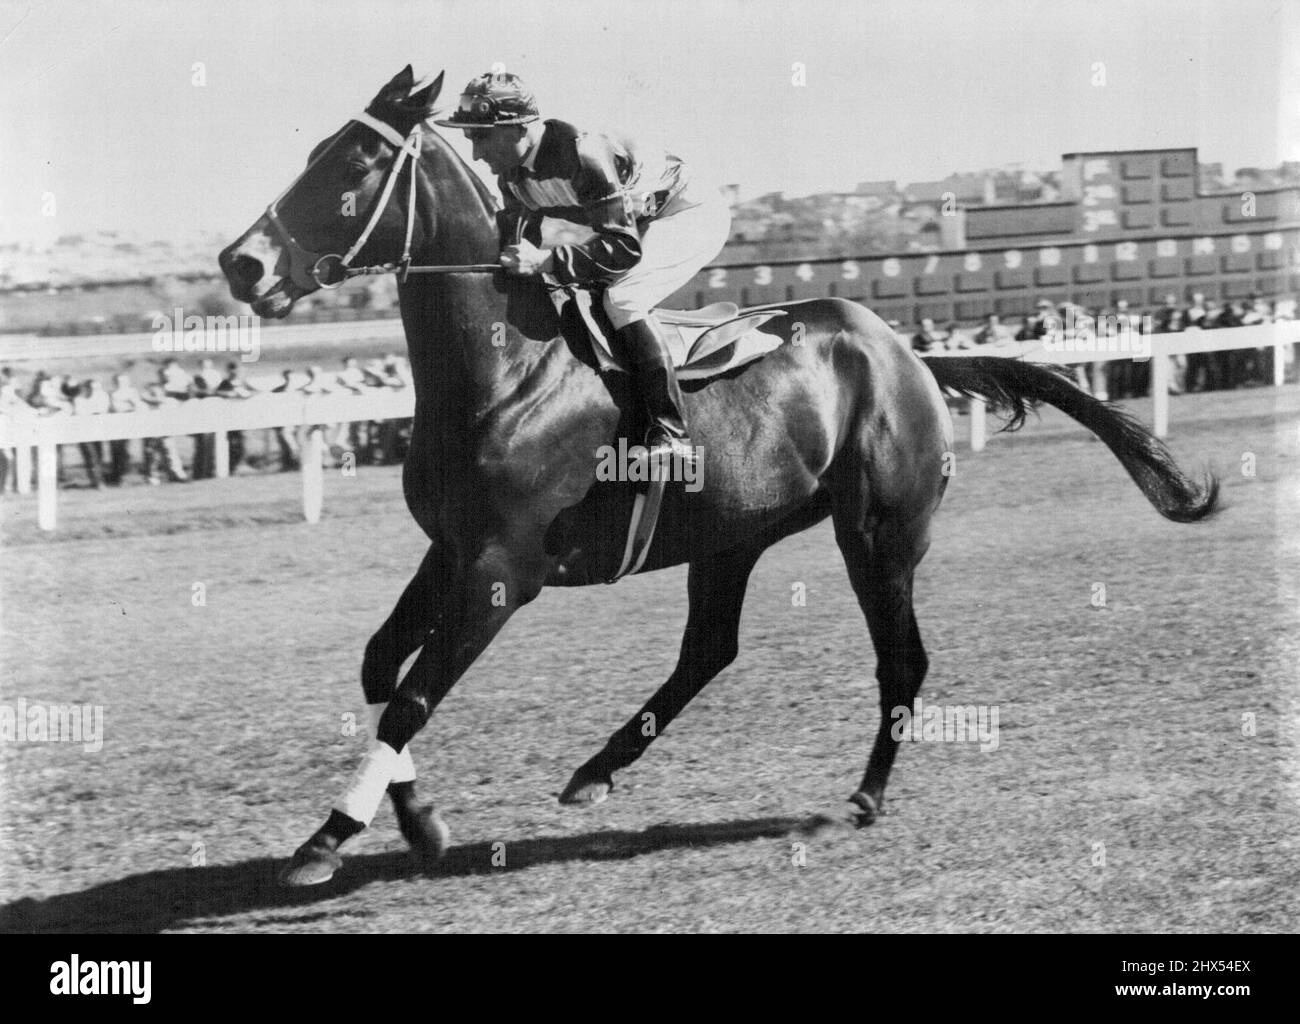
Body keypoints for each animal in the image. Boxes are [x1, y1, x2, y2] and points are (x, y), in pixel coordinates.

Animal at [215, 65, 1216, 888]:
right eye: (315, 152)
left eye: (351, 164)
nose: (240, 262)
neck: (508, 372)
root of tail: (911, 354)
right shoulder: (450, 552)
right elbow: (380, 668)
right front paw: (419, 823)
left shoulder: (503, 572)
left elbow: (412, 695)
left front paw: (326, 838)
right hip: (732, 536)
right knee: (709, 650)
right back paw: (595, 773)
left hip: (879, 534)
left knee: (900, 658)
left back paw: (859, 799)